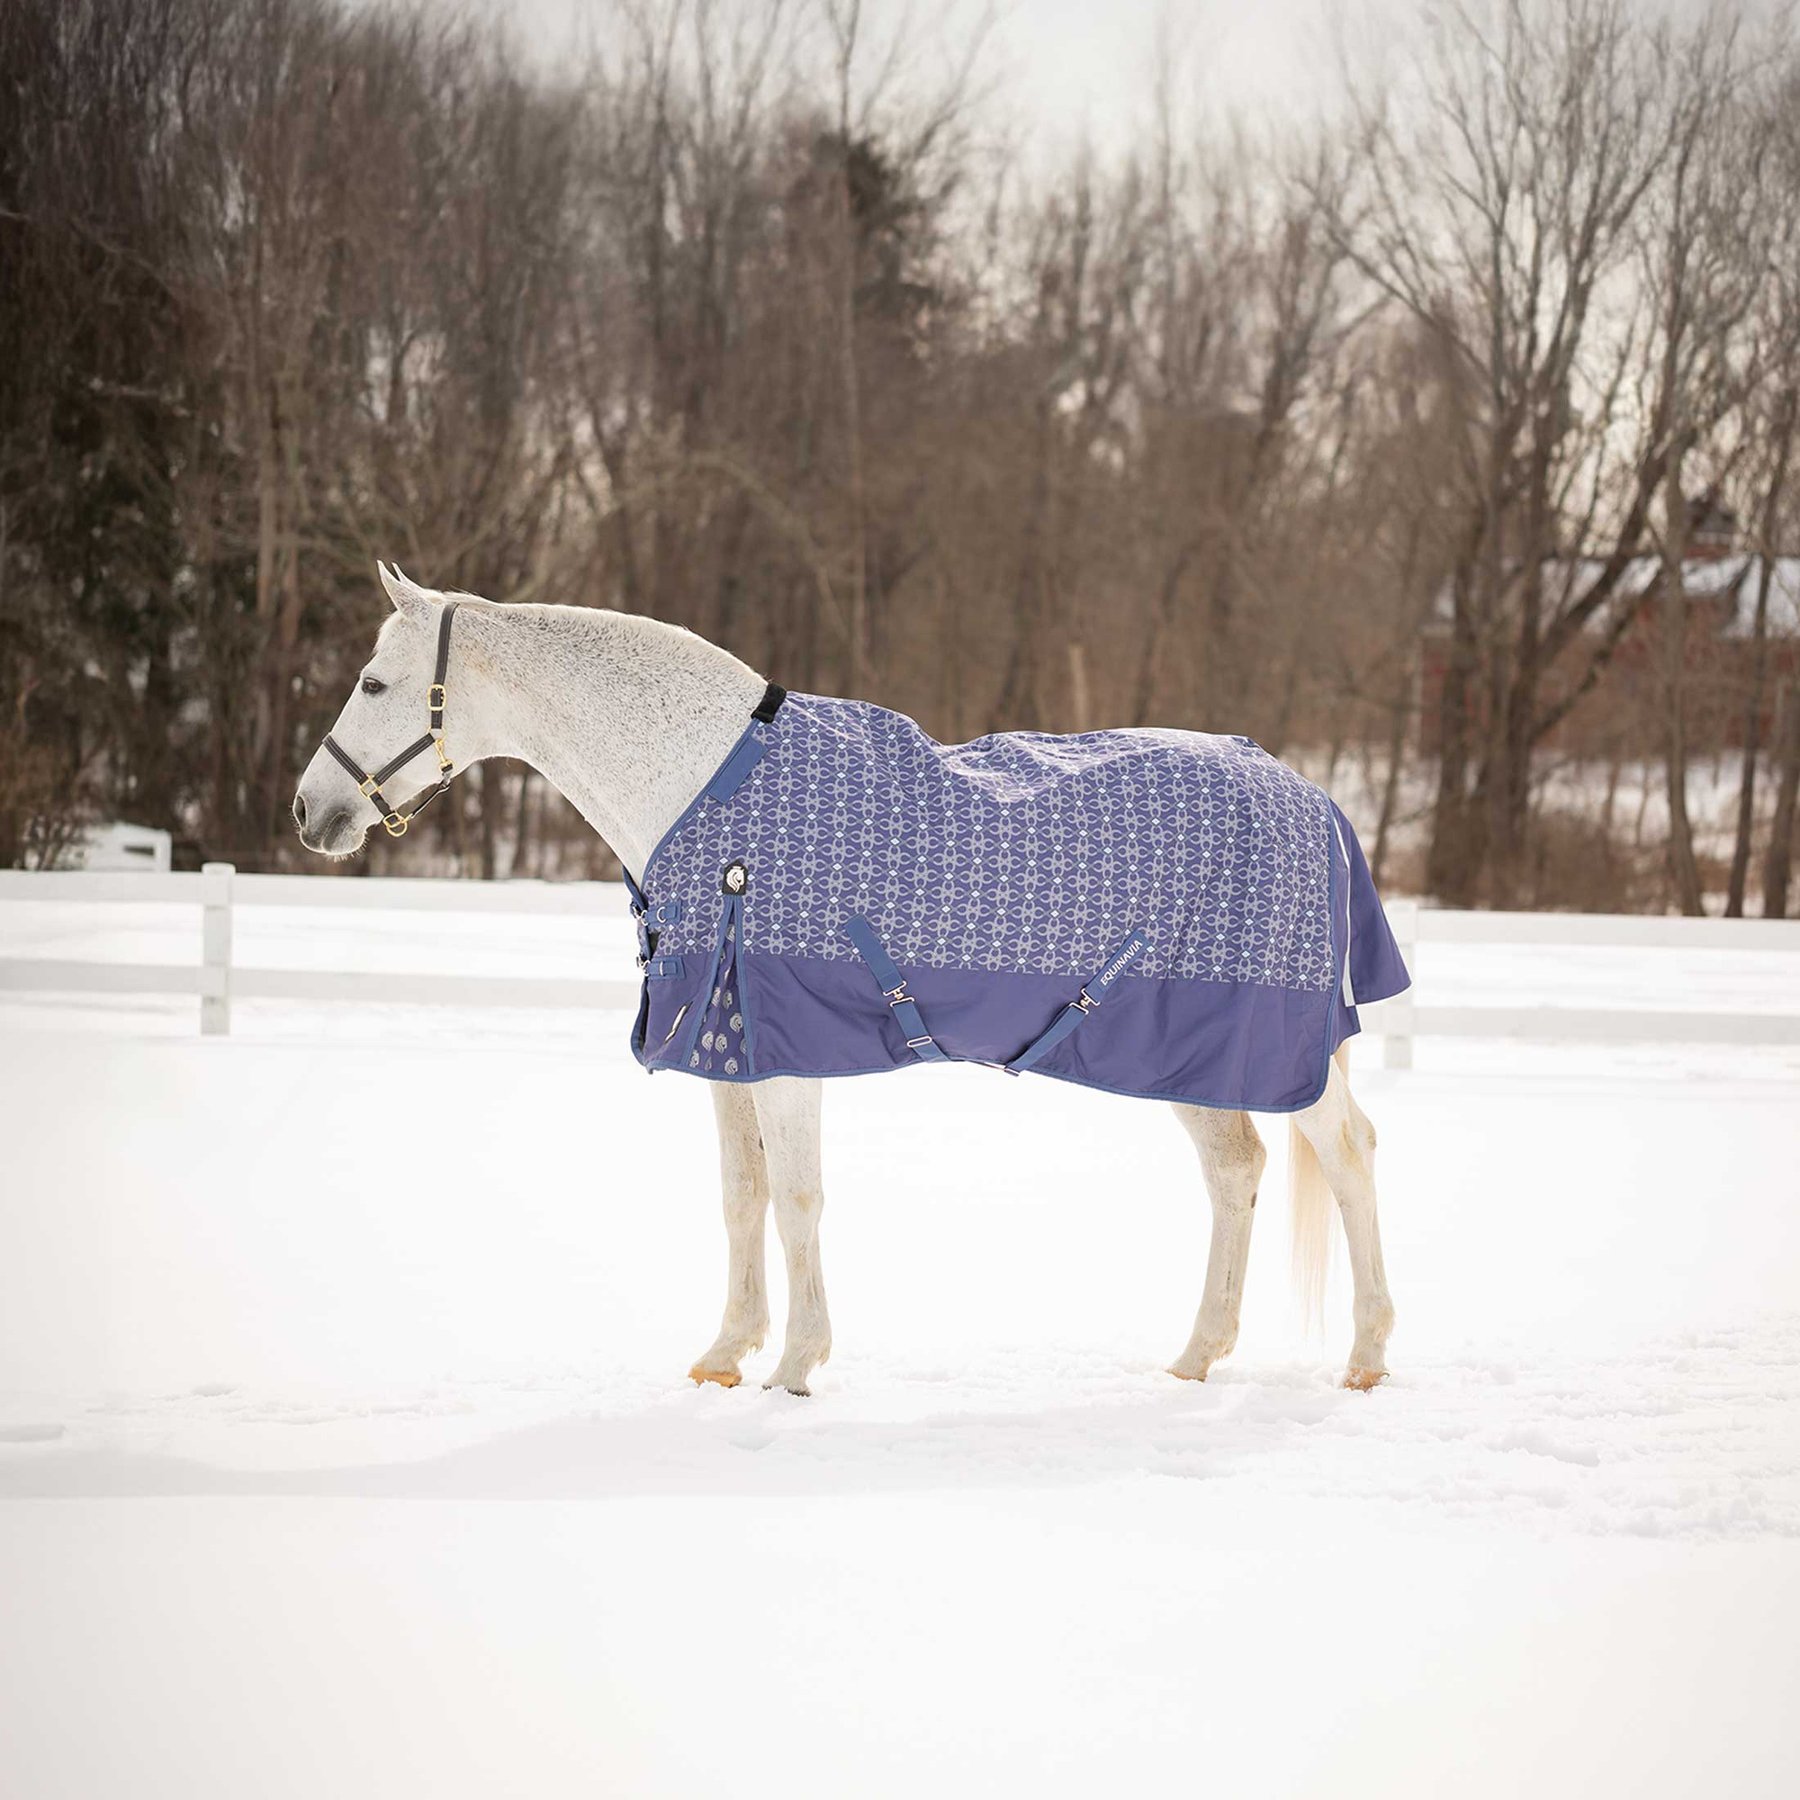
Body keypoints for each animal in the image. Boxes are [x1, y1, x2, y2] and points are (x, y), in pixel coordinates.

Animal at [292, 564, 1399, 1396]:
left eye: (375, 683)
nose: (309, 812)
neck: (709, 787)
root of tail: (1308, 794)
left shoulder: (787, 1050)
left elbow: (796, 1199)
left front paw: (794, 1367)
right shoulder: (729, 1047)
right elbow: (740, 1197)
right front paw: (724, 1355)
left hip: (1271, 1048)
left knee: (1343, 1152)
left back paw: (1365, 1357)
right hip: (1190, 1052)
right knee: (1239, 1170)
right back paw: (1197, 1358)